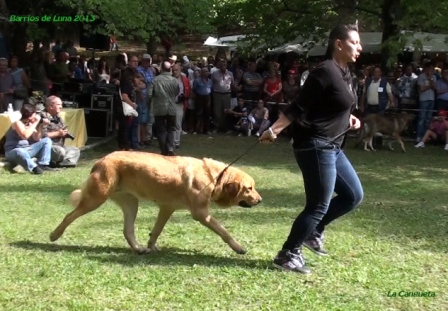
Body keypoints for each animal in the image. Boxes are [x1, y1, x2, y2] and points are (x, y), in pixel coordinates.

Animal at [49, 151, 262, 256]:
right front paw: (238, 248)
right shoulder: (201, 214)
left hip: (131, 204)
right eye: (249, 188)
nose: (260, 200)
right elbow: (224, 232)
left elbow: (156, 231)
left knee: (127, 230)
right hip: (95, 199)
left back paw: (138, 249)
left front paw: (151, 246)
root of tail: (101, 160)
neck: (216, 177)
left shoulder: (167, 208)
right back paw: (54, 235)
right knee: (69, 215)